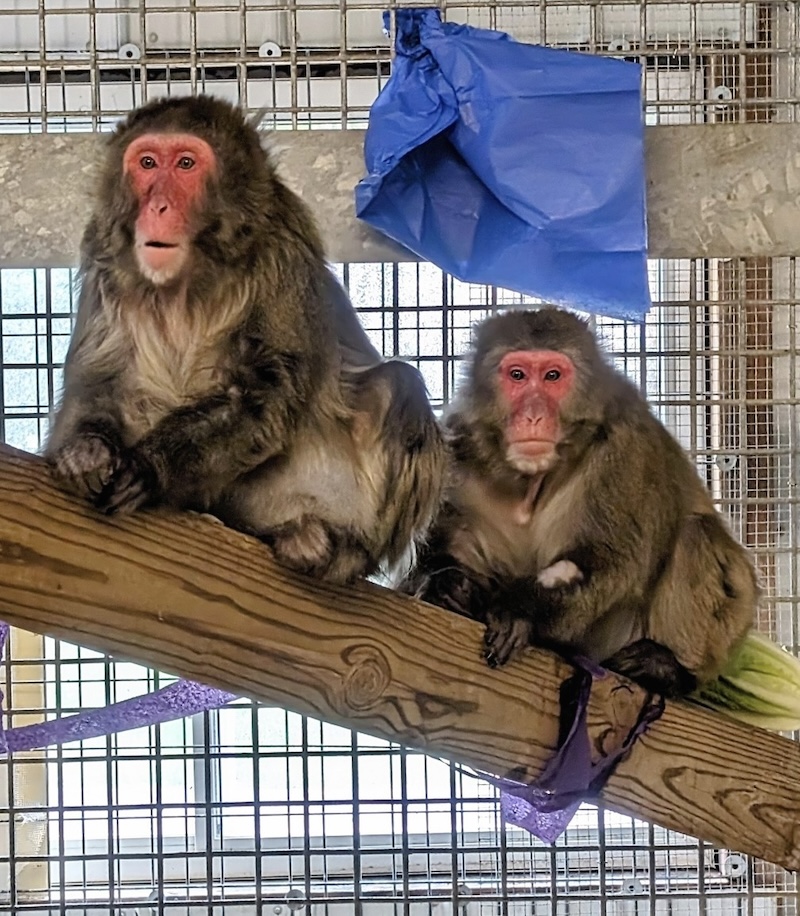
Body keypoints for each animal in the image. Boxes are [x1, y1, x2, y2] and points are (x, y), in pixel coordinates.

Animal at [45, 91, 444, 580]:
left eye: (185, 164)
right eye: (146, 163)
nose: (157, 207)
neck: (191, 277)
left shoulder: (281, 245)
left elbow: (264, 392)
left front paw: (147, 466)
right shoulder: (105, 252)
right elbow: (100, 380)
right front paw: (87, 451)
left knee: (397, 386)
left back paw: (340, 550)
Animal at [404, 308, 760, 696]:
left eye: (552, 376)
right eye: (517, 375)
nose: (533, 415)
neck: (530, 480)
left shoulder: (625, 445)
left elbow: (610, 561)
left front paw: (520, 610)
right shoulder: (453, 450)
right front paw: (448, 586)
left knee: (698, 536)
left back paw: (668, 668)